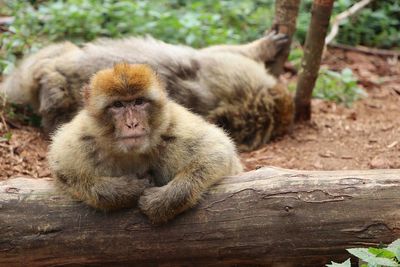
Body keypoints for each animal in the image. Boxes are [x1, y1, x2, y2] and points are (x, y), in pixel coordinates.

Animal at [48, 63, 242, 225]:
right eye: (118, 105)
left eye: (139, 102)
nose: (132, 124)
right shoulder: (82, 139)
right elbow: (63, 169)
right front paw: (126, 190)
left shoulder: (176, 129)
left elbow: (217, 151)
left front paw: (163, 201)